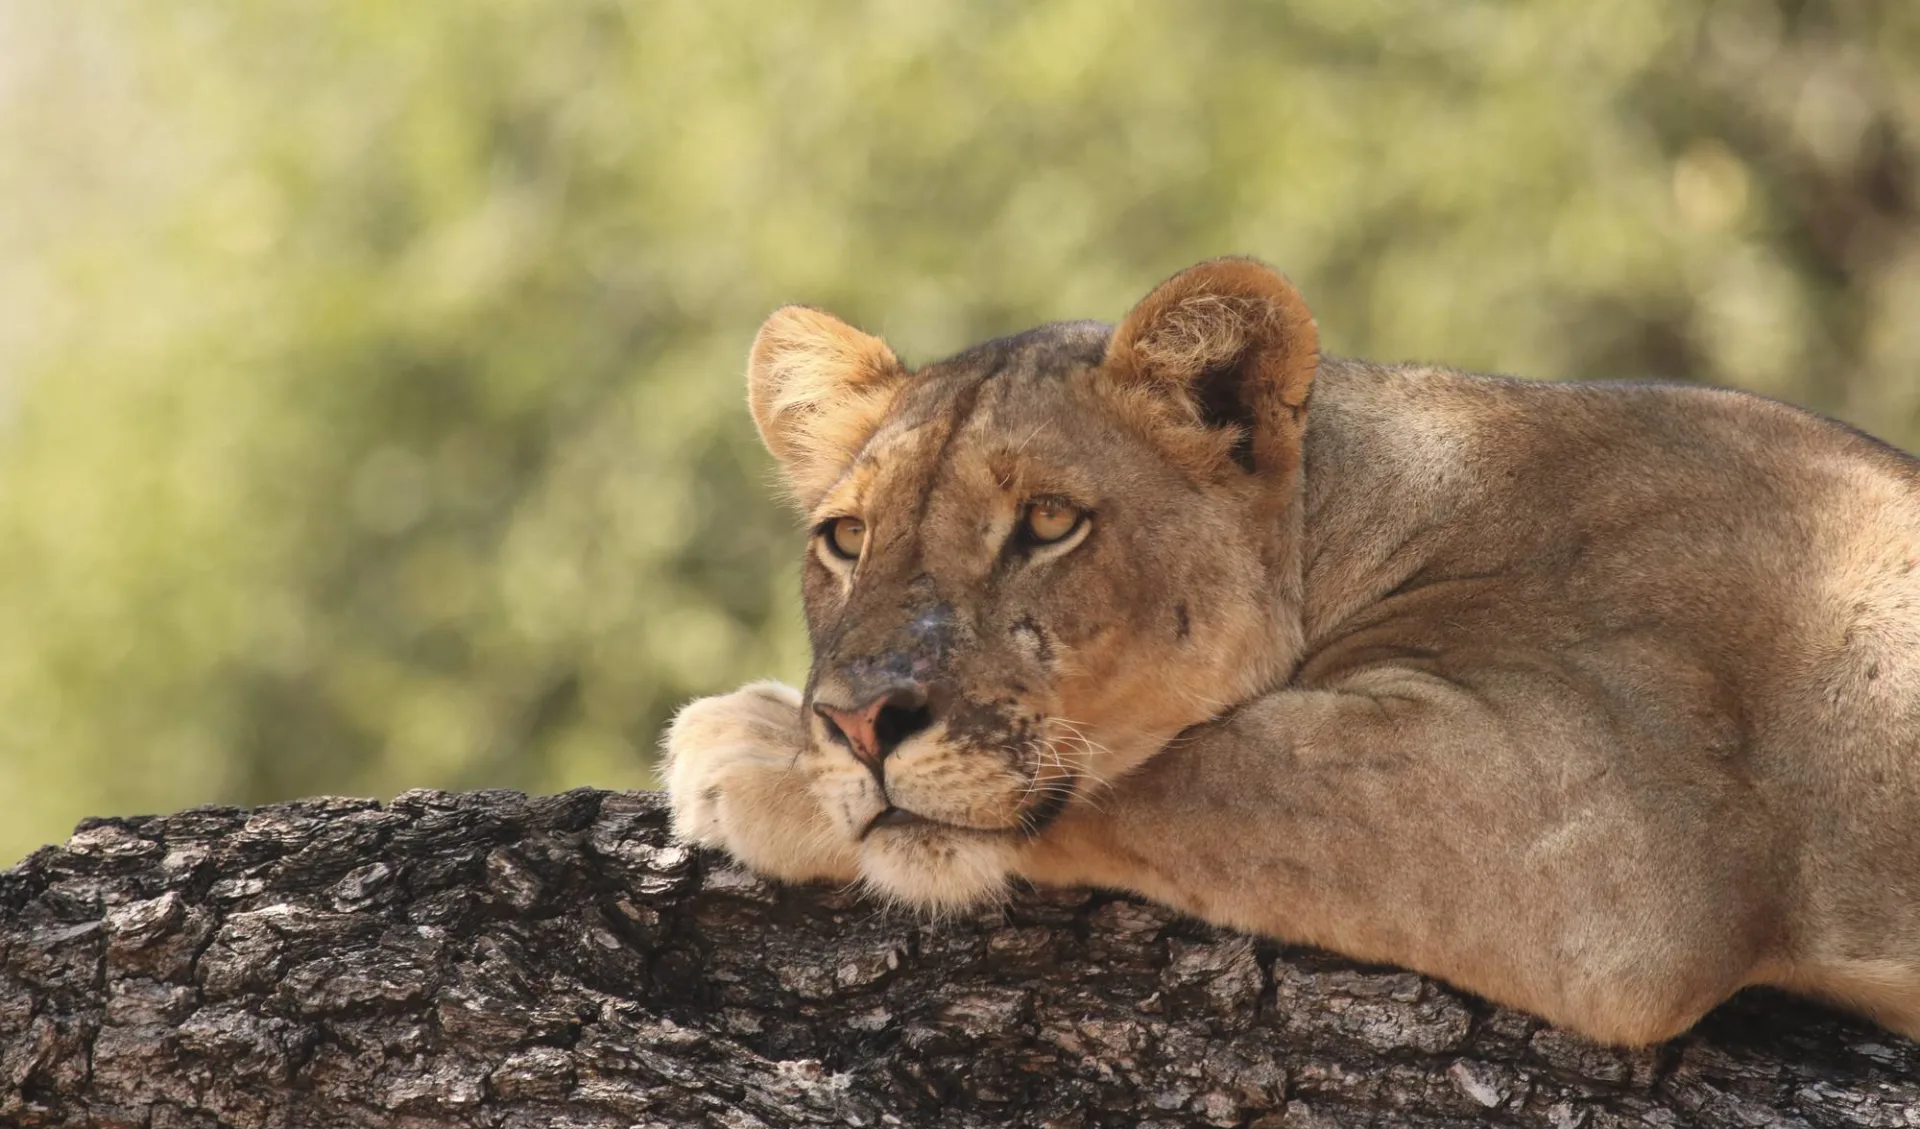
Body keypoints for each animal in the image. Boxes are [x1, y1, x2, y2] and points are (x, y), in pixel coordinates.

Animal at [662, 257, 1920, 1046]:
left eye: (1049, 523)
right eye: (845, 538)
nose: (856, 723)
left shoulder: (1618, 838)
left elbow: (1188, 766)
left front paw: (750, 750)